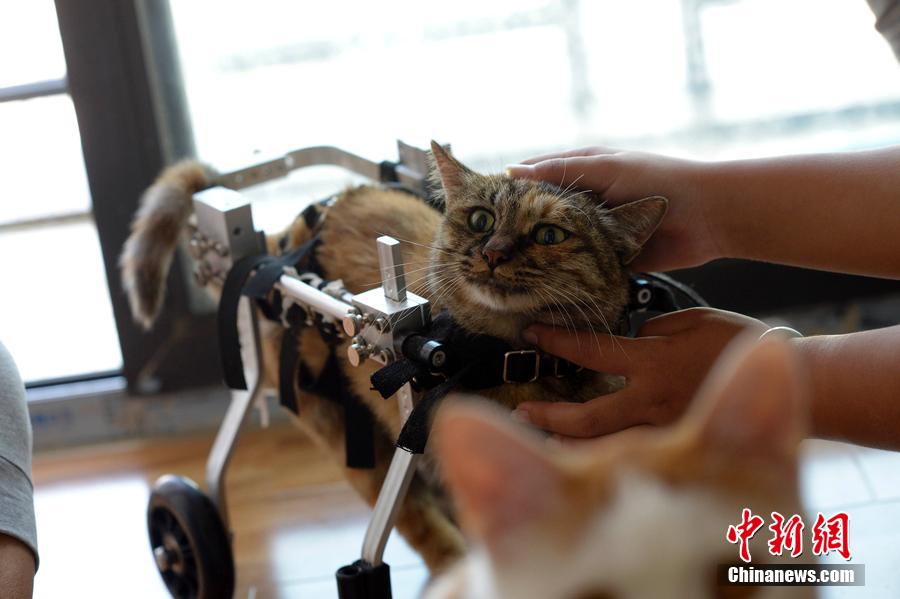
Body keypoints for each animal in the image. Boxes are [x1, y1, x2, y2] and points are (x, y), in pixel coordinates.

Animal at [119, 141, 668, 572]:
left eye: (550, 235)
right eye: (481, 219)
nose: (493, 251)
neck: (506, 358)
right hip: (340, 431)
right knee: (422, 529)